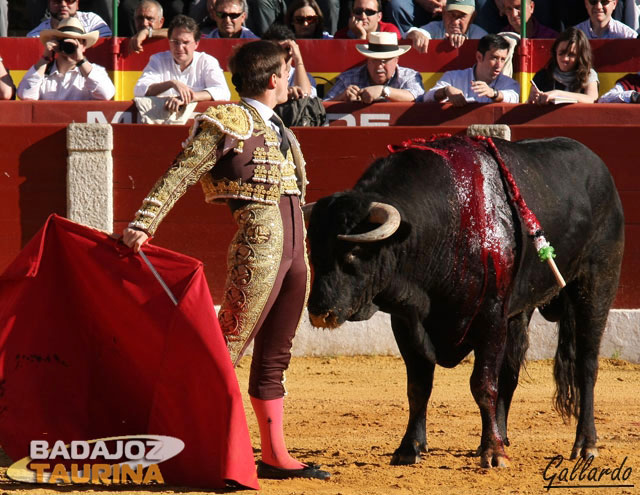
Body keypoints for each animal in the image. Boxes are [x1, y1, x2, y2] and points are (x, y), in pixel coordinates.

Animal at [308, 136, 624, 468]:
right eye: (313, 251)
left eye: (354, 252)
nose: (319, 313)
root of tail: (598, 166)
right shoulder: (407, 322)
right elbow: (418, 386)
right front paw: (409, 448)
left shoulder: (491, 318)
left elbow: (482, 384)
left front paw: (493, 454)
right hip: (519, 312)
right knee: (510, 371)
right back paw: (502, 435)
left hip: (597, 284)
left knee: (586, 364)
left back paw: (585, 444)